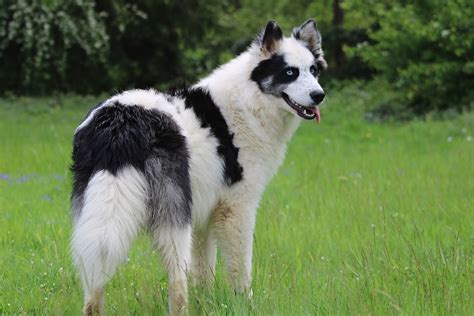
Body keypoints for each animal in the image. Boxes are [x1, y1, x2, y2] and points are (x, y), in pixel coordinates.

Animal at [71, 19, 326, 314]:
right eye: (290, 72)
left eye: (313, 71)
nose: (319, 95)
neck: (249, 99)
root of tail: (121, 121)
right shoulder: (236, 210)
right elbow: (240, 270)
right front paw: (245, 303)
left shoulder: (203, 217)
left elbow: (204, 272)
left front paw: (208, 302)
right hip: (173, 221)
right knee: (177, 284)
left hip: (96, 217)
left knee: (94, 286)